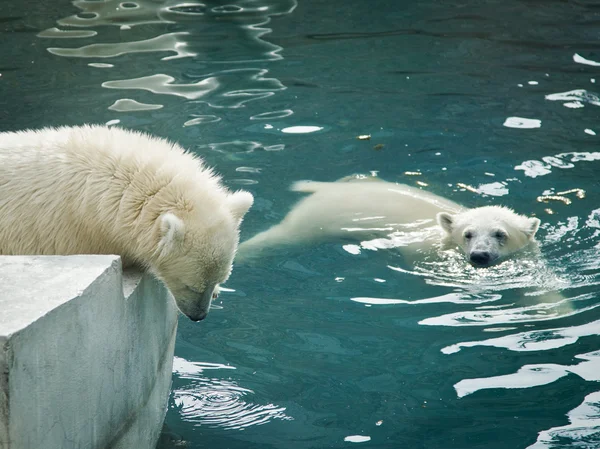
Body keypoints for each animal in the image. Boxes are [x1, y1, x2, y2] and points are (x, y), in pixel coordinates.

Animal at [237, 175, 540, 266]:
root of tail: (325, 187)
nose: (480, 256)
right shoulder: (423, 250)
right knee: (281, 236)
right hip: (316, 218)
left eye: (500, 234)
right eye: (467, 234)